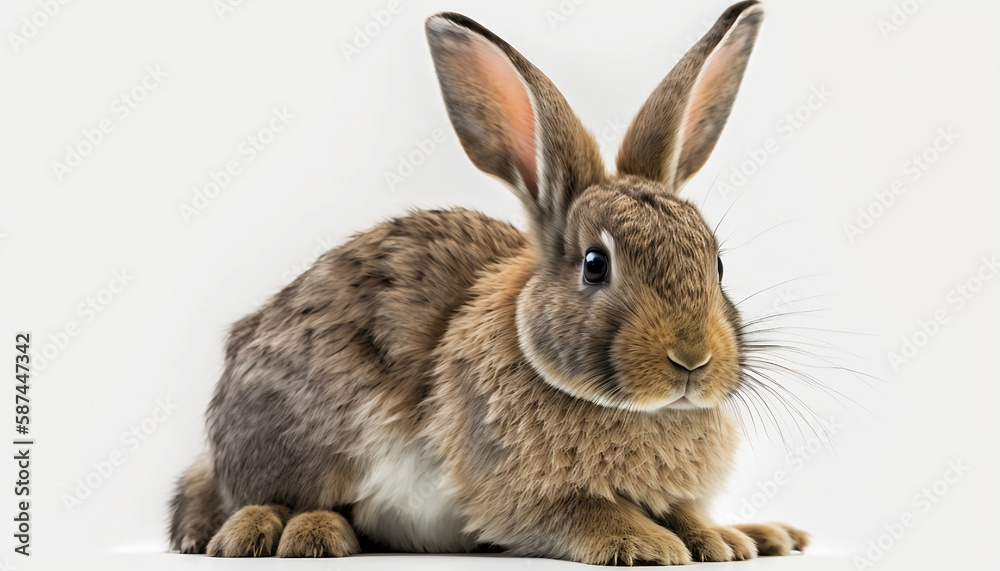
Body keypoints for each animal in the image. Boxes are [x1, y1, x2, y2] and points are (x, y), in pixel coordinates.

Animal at [169, 0, 809, 564]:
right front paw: (648, 545)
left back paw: (767, 534)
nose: (692, 359)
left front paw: (720, 541)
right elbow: (583, 513)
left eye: (718, 265)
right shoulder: (516, 494)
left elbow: (684, 512)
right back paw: (290, 531)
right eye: (594, 264)